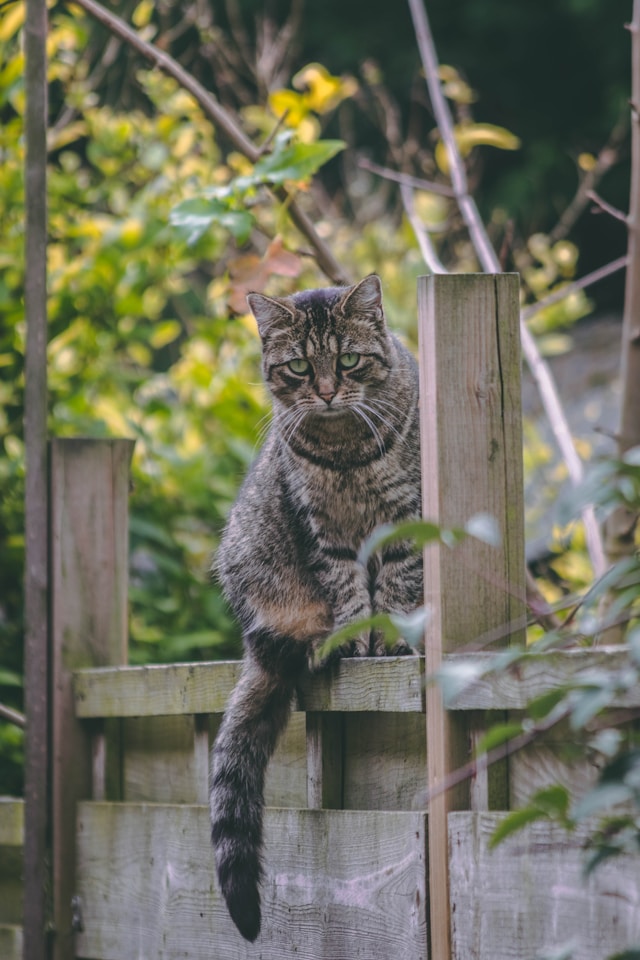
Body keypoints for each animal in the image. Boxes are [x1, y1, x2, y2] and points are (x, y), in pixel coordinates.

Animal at [208, 274, 422, 940]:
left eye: (348, 360)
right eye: (300, 367)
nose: (326, 393)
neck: (344, 447)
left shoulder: (405, 518)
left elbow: (399, 580)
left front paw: (393, 638)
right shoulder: (321, 529)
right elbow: (347, 588)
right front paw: (355, 636)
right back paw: (317, 642)